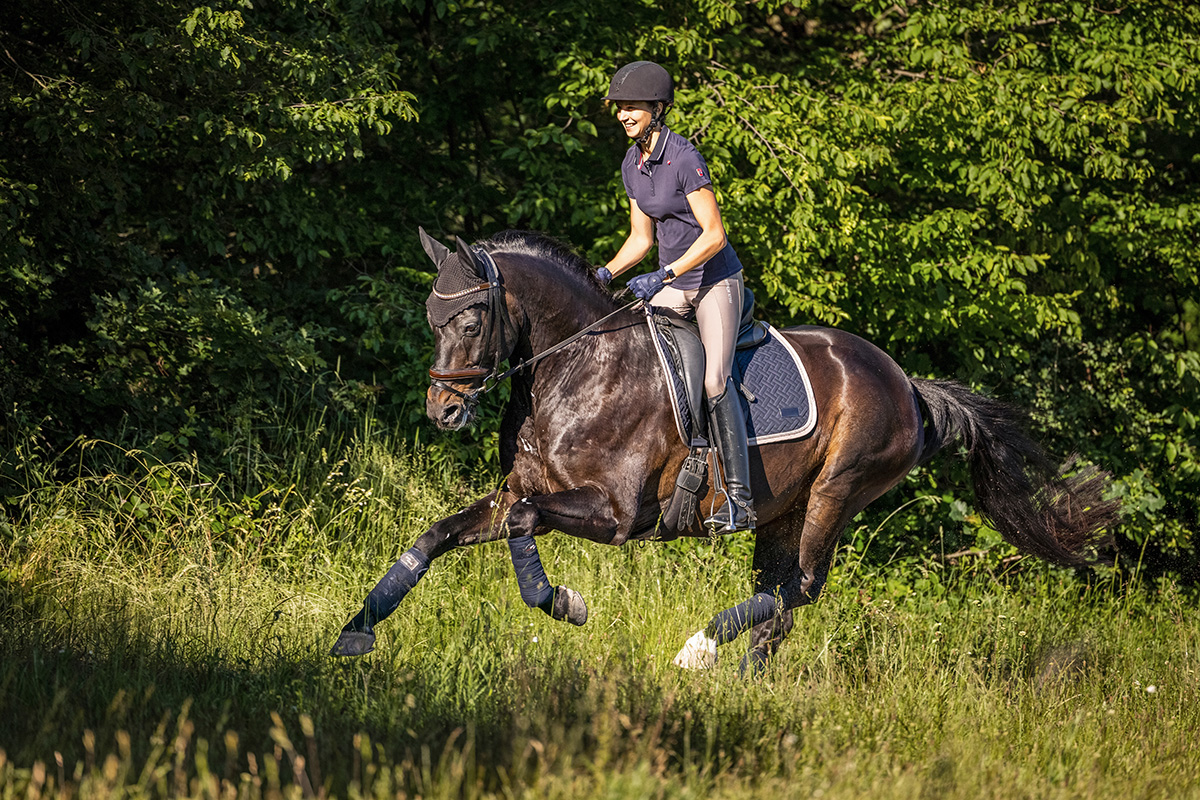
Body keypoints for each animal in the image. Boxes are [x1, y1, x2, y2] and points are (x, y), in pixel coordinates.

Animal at [326, 227, 1113, 671]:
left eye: (469, 320)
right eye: (433, 319)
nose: (443, 411)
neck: (572, 368)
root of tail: (905, 383)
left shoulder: (612, 515)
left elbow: (524, 532)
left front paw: (565, 603)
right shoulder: (519, 491)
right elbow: (434, 537)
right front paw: (354, 634)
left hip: (837, 491)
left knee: (799, 588)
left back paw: (700, 650)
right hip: (783, 509)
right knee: (780, 599)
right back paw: (743, 685)